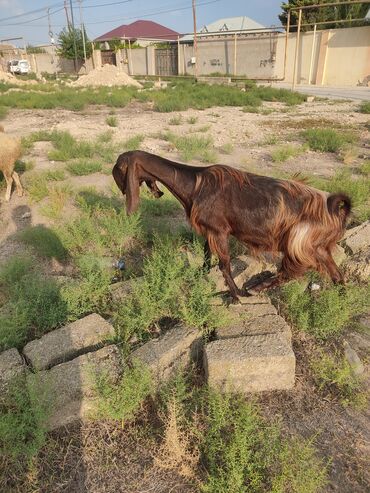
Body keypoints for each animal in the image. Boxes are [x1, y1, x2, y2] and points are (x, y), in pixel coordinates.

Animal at [113, 150, 352, 302]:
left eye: (118, 170)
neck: (194, 184)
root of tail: (336, 211)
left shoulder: (219, 231)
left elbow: (224, 265)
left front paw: (236, 294)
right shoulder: (210, 231)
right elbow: (207, 254)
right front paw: (201, 275)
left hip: (298, 241)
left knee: (293, 271)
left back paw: (256, 288)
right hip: (318, 247)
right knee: (336, 275)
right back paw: (341, 300)